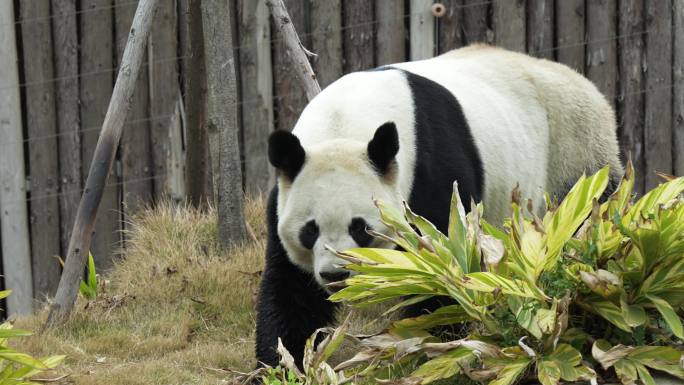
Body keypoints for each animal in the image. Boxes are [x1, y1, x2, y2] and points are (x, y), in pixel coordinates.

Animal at [254, 45, 624, 366]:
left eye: (360, 228)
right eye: (310, 230)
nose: (336, 274)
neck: (344, 124)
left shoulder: (430, 174)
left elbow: (442, 270)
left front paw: (431, 346)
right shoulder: (284, 197)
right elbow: (291, 290)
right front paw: (281, 364)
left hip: (575, 154)